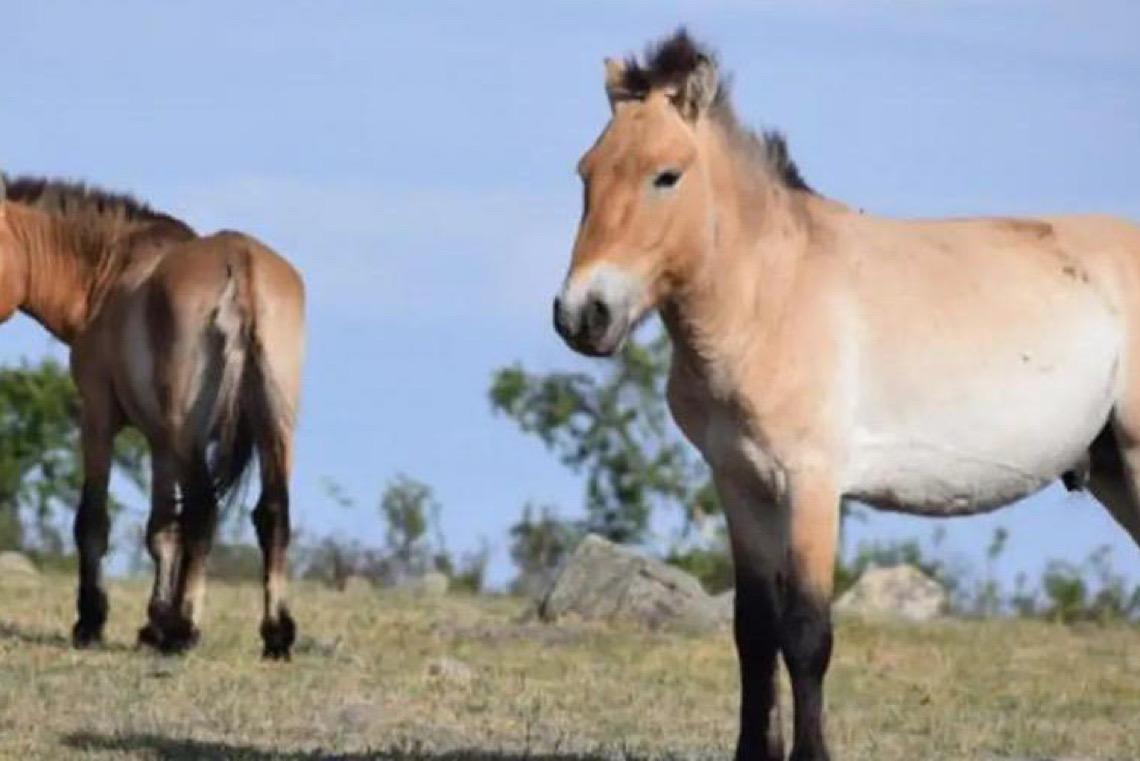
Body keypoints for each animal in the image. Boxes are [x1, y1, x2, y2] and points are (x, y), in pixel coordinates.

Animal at [0, 174, 305, 659]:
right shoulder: (161, 444)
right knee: (272, 513)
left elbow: (95, 520)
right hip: (274, 432)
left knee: (204, 509)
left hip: (189, 434)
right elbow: (163, 530)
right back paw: (275, 634)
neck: (108, 271)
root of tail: (241, 265)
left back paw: (185, 629)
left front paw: (93, 622)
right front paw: (153, 624)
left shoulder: (99, 418)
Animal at [553, 30, 1140, 761]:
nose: (583, 315)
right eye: (586, 173)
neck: (769, 296)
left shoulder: (812, 483)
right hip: (1113, 472)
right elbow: (754, 631)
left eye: (667, 175)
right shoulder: (740, 483)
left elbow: (807, 633)